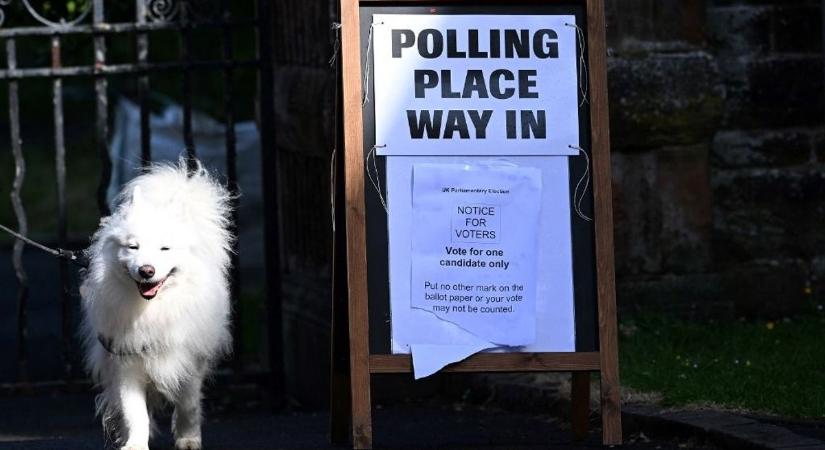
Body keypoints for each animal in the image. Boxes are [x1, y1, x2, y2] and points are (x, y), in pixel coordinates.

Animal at [80, 162, 233, 450]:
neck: (153, 309)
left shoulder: (189, 359)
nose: (146, 270)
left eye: (165, 248)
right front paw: (135, 444)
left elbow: (188, 403)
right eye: (133, 247)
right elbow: (134, 412)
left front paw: (188, 438)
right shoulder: (126, 361)